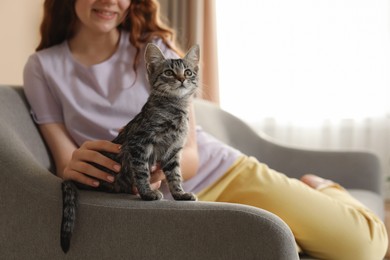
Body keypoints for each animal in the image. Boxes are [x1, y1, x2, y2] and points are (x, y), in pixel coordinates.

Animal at [62, 43, 201, 254]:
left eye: (188, 72)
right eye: (169, 73)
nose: (181, 79)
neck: (175, 109)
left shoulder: (173, 152)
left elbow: (175, 176)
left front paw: (179, 194)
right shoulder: (139, 143)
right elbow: (142, 172)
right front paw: (147, 193)